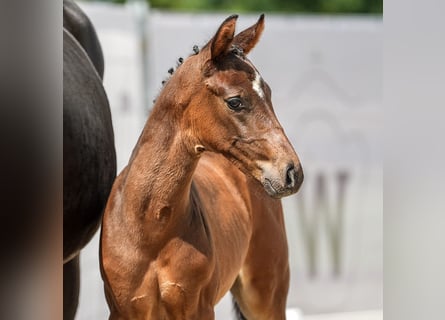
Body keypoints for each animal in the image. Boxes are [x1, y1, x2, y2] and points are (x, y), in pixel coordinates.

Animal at [100, 15, 302, 320]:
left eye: (268, 92)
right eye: (235, 101)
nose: (292, 172)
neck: (149, 229)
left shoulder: (198, 308)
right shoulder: (124, 311)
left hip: (266, 294)